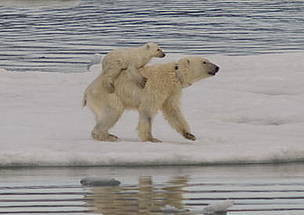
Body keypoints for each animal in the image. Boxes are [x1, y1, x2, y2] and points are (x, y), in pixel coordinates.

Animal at [83, 56, 218, 142]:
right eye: (204, 62)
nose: (217, 67)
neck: (173, 74)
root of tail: (87, 91)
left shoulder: (172, 92)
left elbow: (172, 110)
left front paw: (189, 135)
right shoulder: (157, 87)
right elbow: (147, 110)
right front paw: (151, 138)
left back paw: (108, 134)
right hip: (108, 95)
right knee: (113, 111)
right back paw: (106, 136)